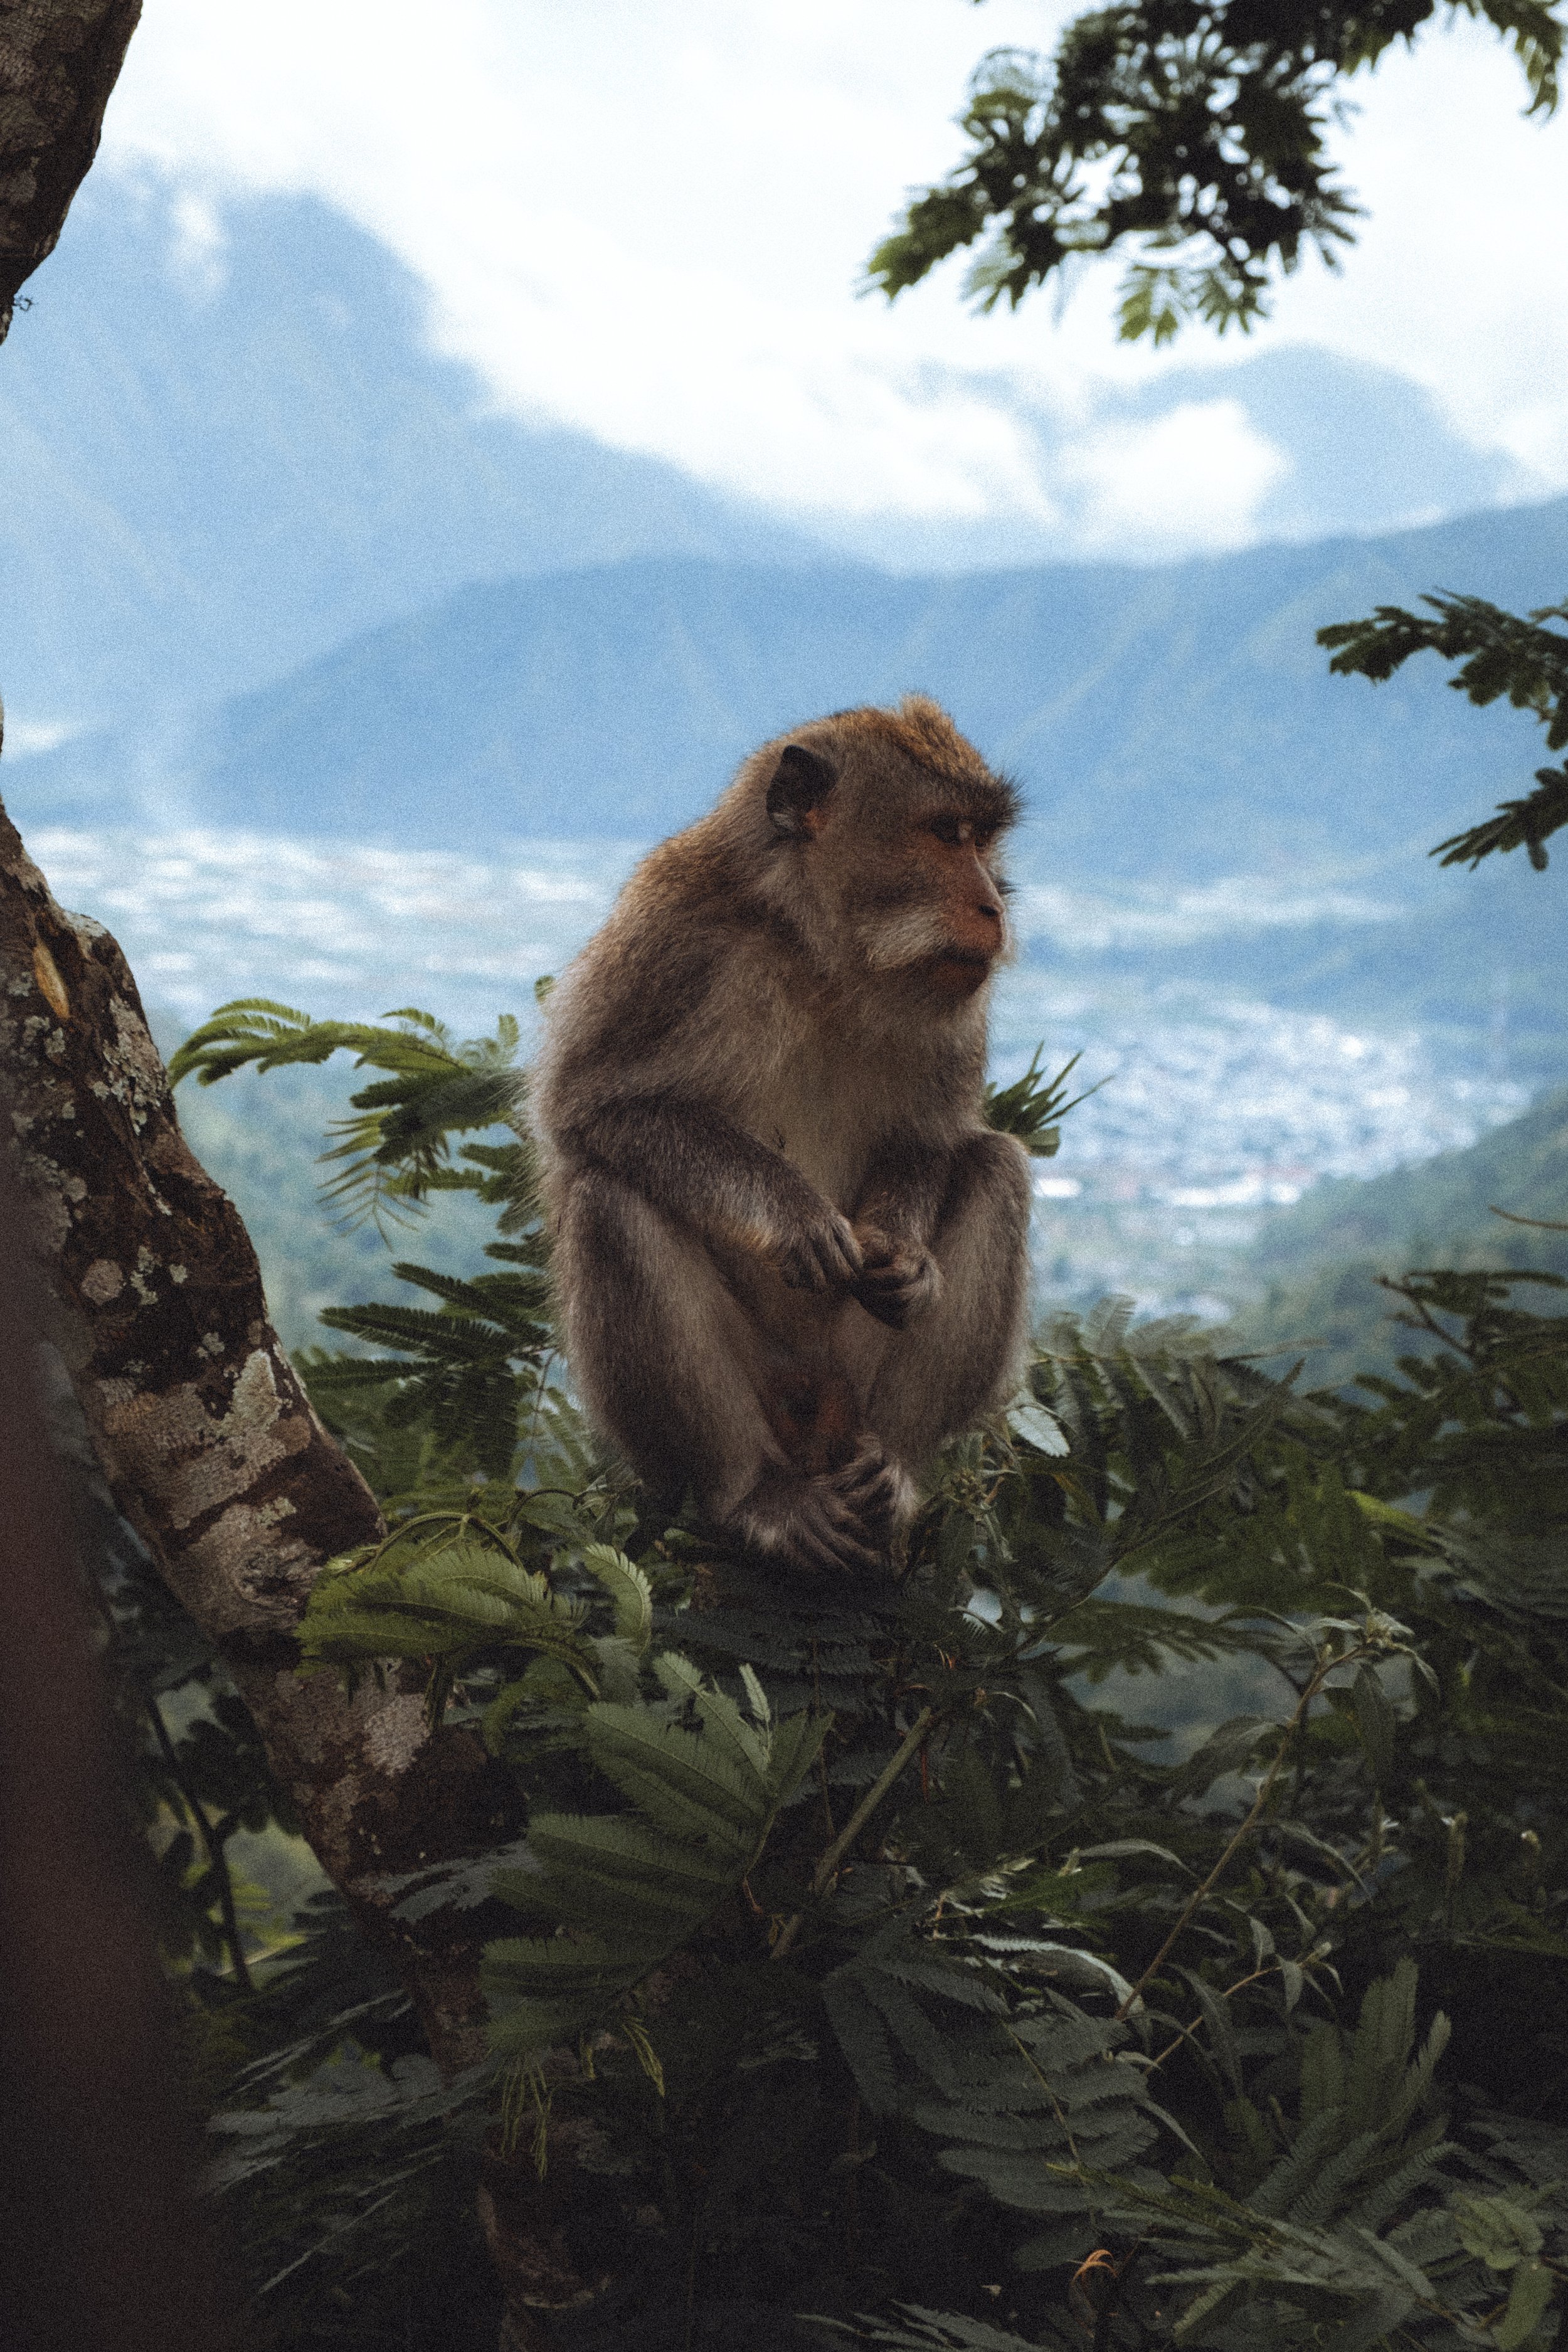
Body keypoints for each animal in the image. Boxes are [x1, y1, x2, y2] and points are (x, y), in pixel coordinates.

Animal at [529, 693, 1034, 1577]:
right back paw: (753, 1496)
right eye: (947, 834)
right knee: (608, 1199)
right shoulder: (675, 939)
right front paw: (792, 1214)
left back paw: (895, 1467)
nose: (995, 906)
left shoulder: (955, 1005)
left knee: (996, 1166)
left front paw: (903, 1254)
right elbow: (593, 1109)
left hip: (854, 1374)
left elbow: (932, 1138)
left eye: (983, 839)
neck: (821, 952)